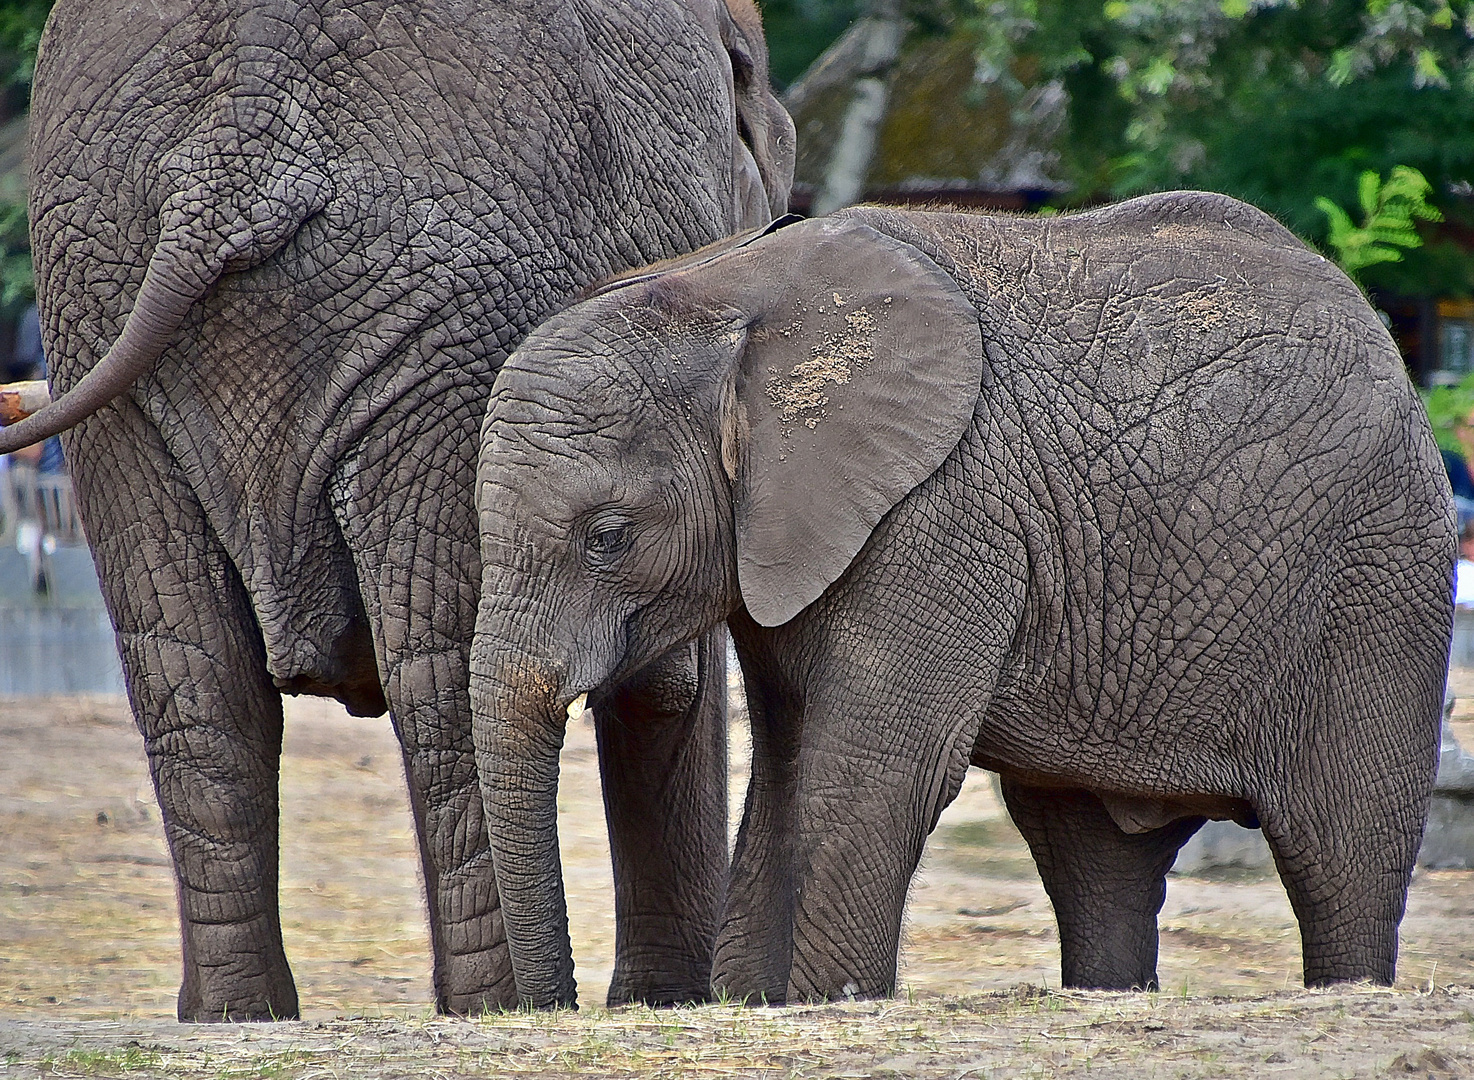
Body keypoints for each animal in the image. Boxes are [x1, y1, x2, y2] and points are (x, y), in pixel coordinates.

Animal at [5, 0, 795, 1019]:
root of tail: (235, 155)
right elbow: (669, 682)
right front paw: (667, 1002)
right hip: (453, 317)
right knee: (435, 674)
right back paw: (496, 1003)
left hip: (104, 307)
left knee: (193, 670)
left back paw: (239, 1013)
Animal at [471, 191, 1450, 1001]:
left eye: (607, 537)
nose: (555, 1007)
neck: (723, 292)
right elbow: (787, 775)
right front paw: (753, 1003)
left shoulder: (942, 509)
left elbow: (870, 771)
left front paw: (828, 1004)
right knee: (1093, 860)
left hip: (1379, 569)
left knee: (1342, 854)